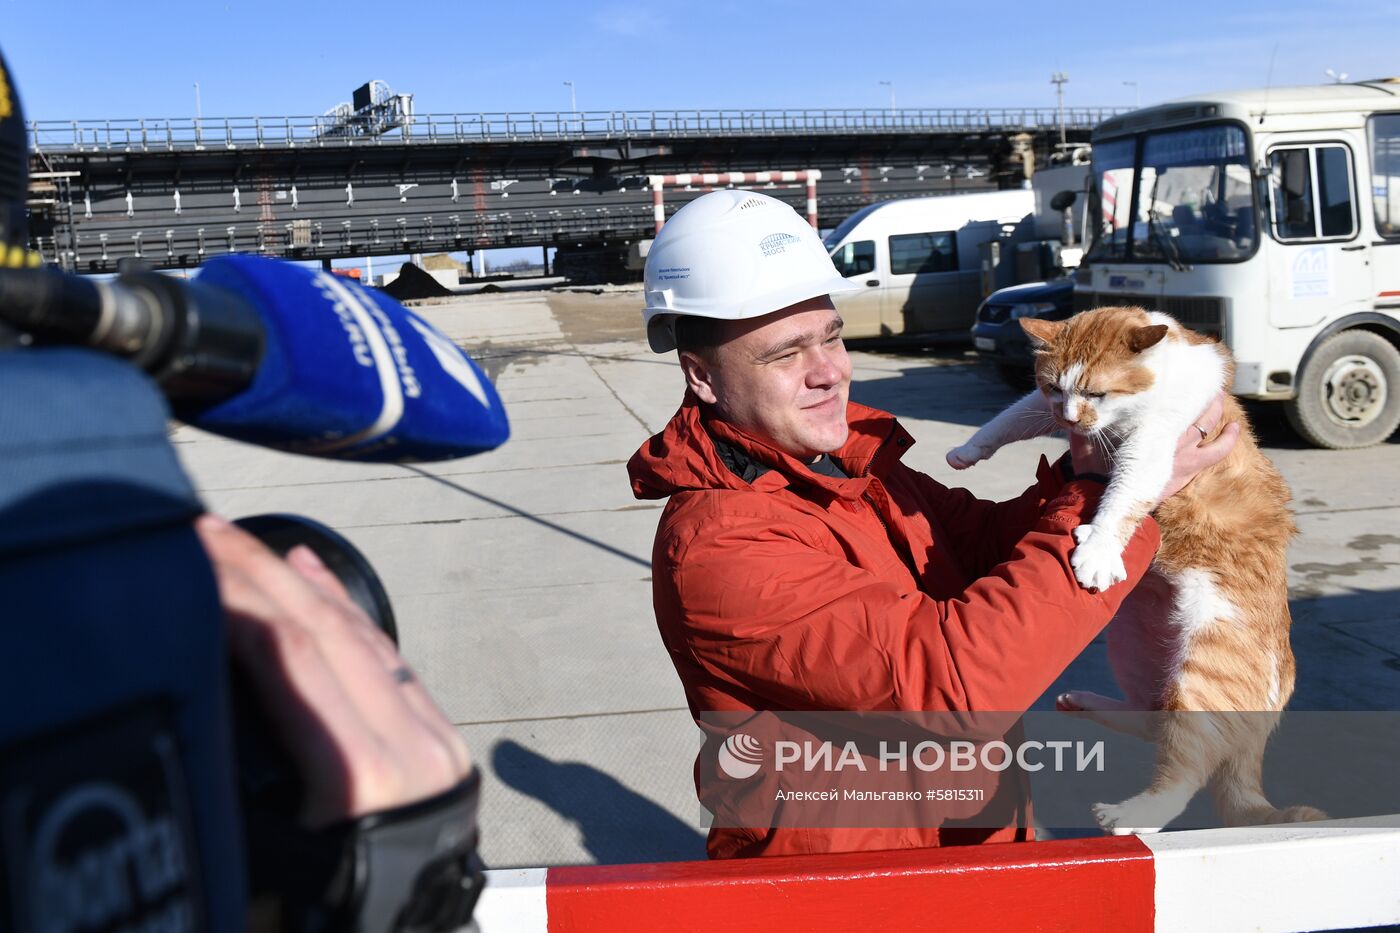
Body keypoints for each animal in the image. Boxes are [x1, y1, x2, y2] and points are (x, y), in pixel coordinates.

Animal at [940, 308, 1321, 829]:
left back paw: (1128, 814)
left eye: (1097, 393)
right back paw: (1085, 704)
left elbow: (1122, 499)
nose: (1068, 418)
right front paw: (969, 449)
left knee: (1183, 771)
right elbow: (1011, 417)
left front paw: (1099, 548)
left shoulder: (1153, 448)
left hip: (1202, 674)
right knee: (1153, 720)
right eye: (1054, 387)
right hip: (1132, 647)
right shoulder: (1041, 406)